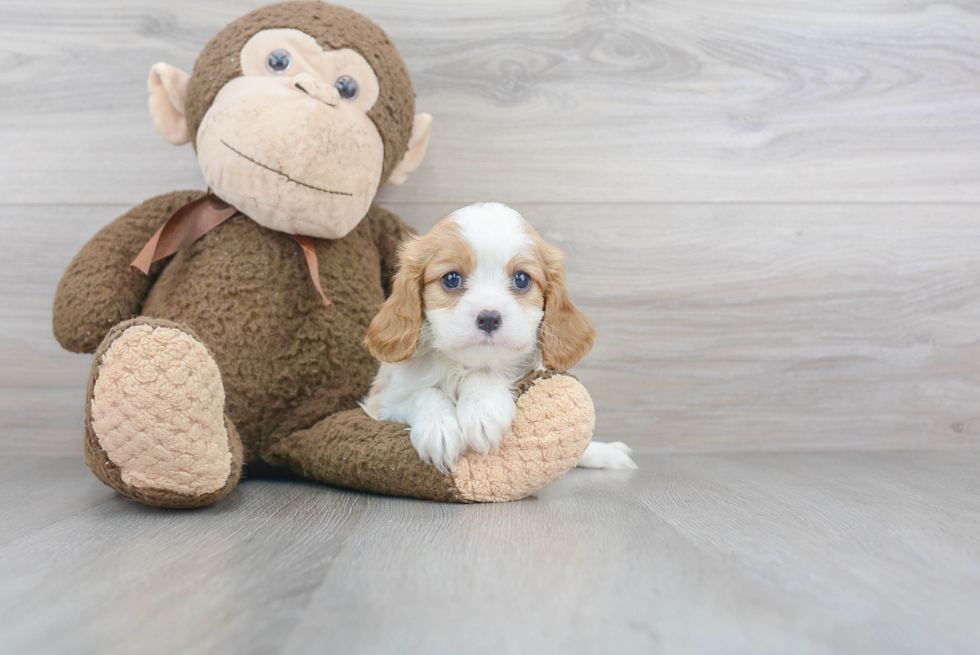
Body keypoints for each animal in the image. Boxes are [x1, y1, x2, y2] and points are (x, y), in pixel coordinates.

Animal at [364, 202, 640, 474]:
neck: (464, 366)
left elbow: (484, 376)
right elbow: (421, 394)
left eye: (521, 279)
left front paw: (482, 409)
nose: (489, 318)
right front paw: (438, 427)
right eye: (451, 279)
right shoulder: (379, 402)